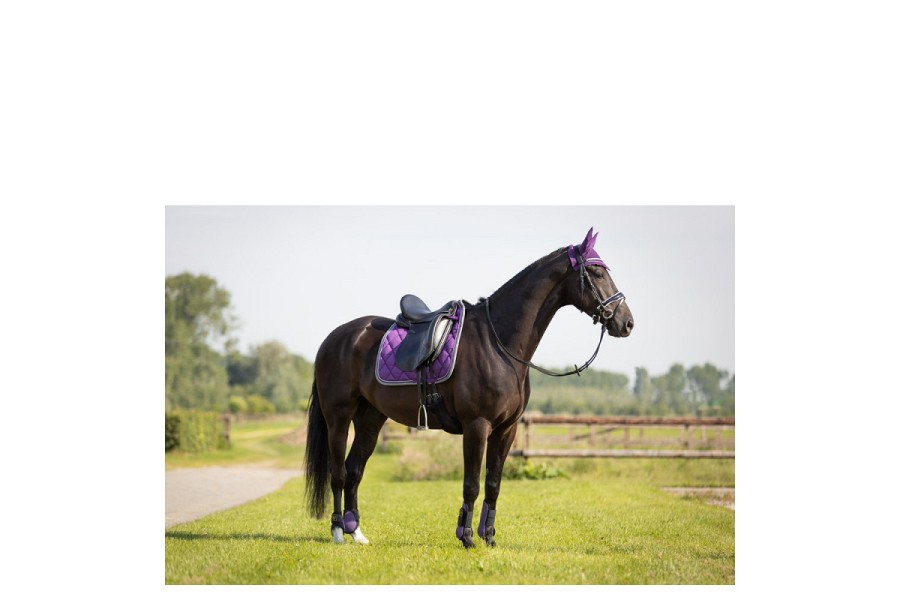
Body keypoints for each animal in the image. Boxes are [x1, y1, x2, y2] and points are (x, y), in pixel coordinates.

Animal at [304, 228, 634, 548]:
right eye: (597, 272)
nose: (627, 322)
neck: (499, 344)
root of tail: (335, 338)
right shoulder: (477, 425)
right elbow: (472, 485)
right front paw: (466, 536)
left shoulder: (506, 429)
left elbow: (493, 484)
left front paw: (488, 537)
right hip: (338, 417)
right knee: (338, 473)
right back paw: (337, 532)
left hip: (371, 419)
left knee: (354, 471)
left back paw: (356, 533)